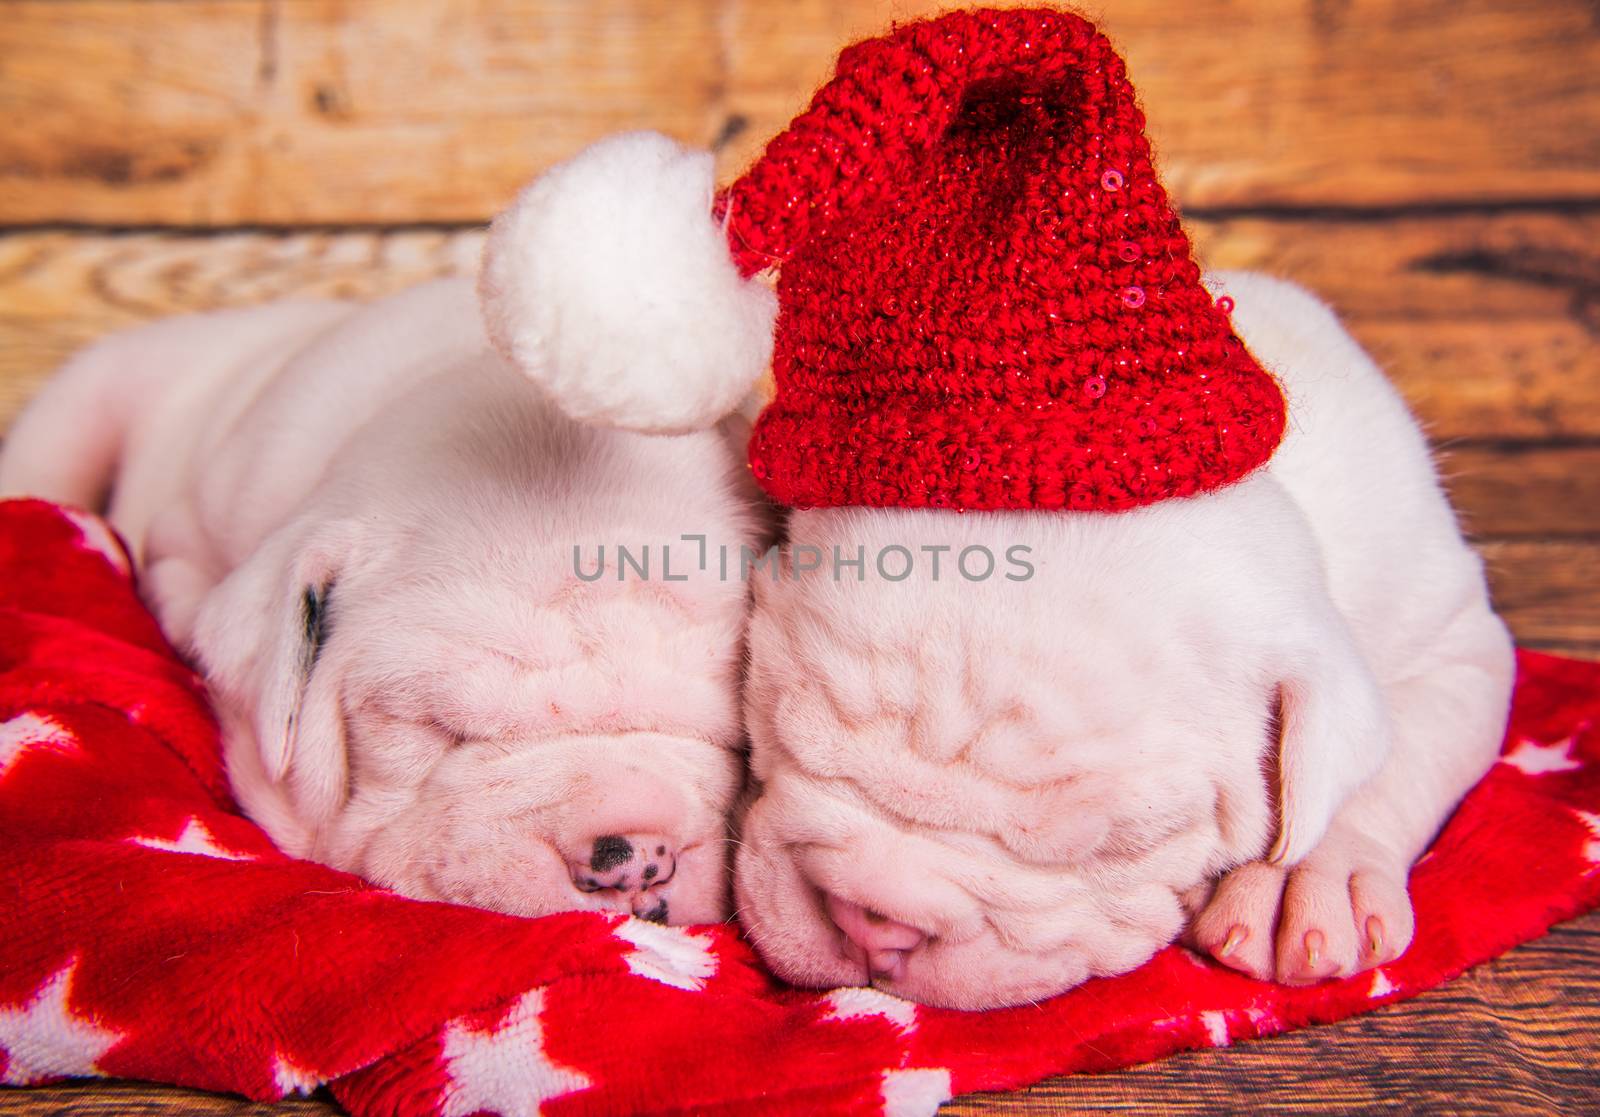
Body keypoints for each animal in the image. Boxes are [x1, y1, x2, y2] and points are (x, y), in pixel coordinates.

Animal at [732, 272, 1510, 1011]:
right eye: (778, 731)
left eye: (1115, 849)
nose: (872, 921)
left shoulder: (1457, 643)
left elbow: (1397, 754)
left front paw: (1310, 876)